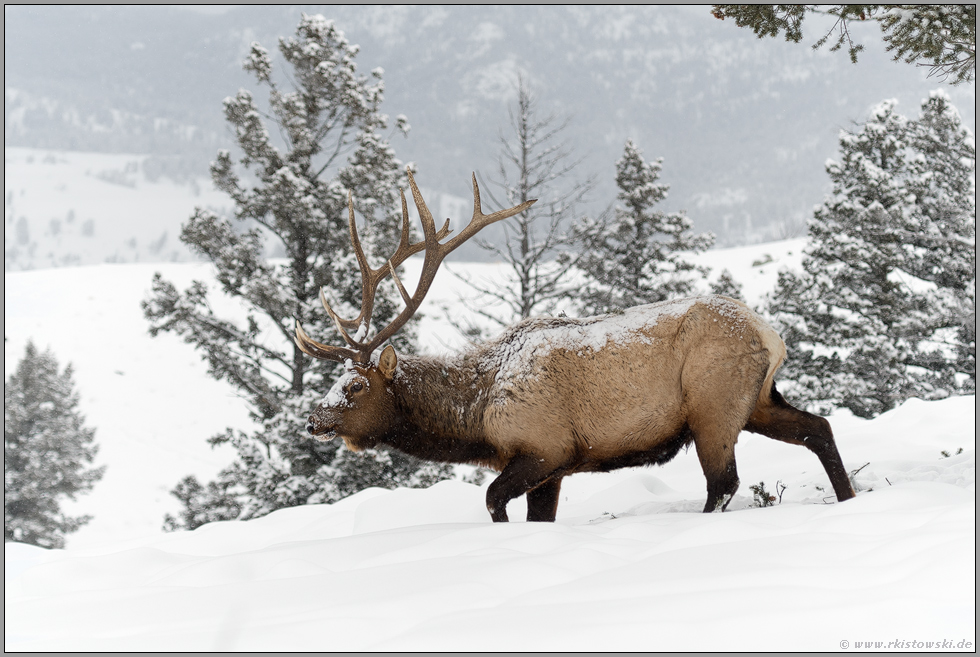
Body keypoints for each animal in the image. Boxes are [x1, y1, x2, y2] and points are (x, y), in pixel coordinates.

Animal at [294, 170, 852, 524]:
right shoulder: (552, 470)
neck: (476, 419)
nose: (313, 420)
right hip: (755, 400)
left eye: (355, 386)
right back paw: (849, 500)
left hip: (713, 404)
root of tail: (771, 335)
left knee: (725, 483)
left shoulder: (544, 446)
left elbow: (493, 500)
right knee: (818, 428)